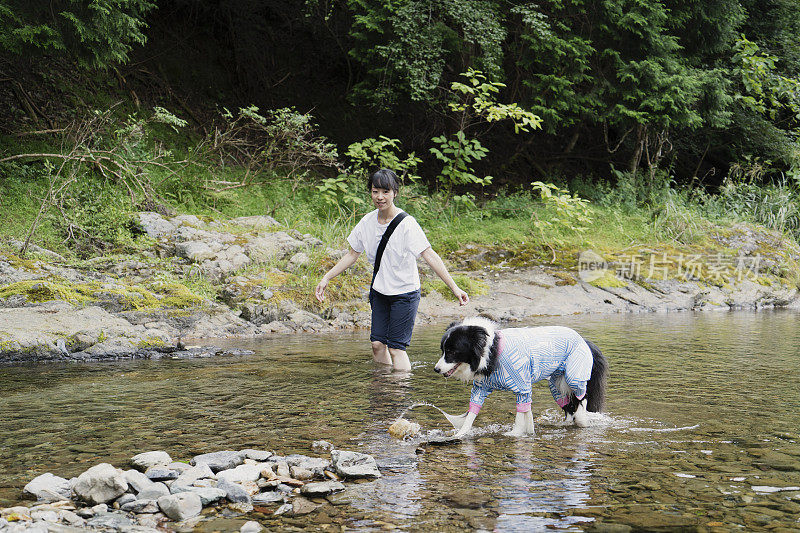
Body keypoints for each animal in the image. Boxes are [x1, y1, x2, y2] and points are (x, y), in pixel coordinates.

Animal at [434, 316, 608, 436]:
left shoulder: (522, 385)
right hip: (556, 383)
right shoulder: (480, 387)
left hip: (574, 375)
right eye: (443, 350)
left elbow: (520, 413)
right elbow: (472, 411)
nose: (436, 369)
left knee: (581, 396)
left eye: (452, 351)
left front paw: (515, 434)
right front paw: (460, 434)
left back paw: (582, 420)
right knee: (568, 404)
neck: (492, 350)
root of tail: (584, 340)